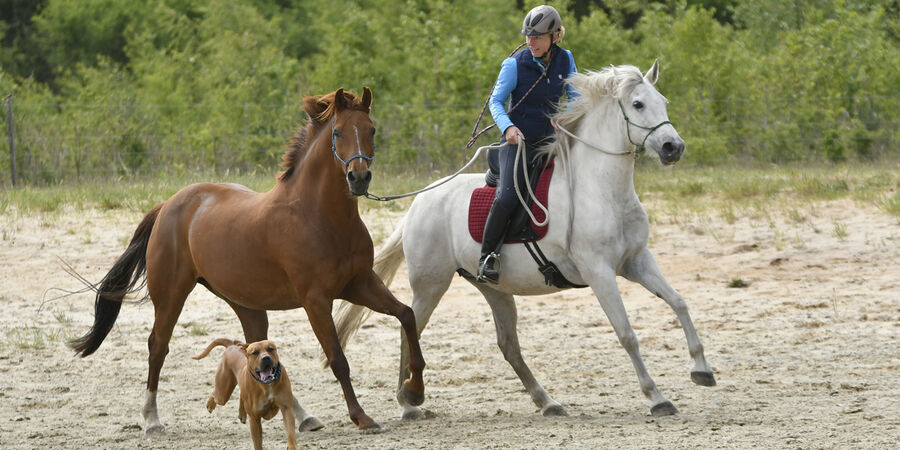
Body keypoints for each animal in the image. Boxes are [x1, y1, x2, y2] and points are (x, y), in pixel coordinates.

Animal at [67, 88, 426, 436]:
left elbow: (406, 316)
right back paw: (152, 420)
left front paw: (415, 391)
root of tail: (168, 204)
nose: (359, 177)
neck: (318, 215)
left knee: (256, 347)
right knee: (158, 346)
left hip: (245, 303)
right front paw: (362, 417)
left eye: (371, 129)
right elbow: (338, 359)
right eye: (337, 133)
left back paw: (304, 417)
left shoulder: (360, 284)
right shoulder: (315, 299)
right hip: (171, 294)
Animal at [334, 59, 712, 418]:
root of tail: (420, 202)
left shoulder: (636, 262)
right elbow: (627, 334)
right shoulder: (600, 272)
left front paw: (702, 370)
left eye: (663, 102)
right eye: (637, 104)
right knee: (408, 329)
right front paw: (657, 397)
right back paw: (408, 403)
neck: (602, 189)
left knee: (508, 344)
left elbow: (679, 302)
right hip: (431, 285)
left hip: (493, 288)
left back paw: (547, 401)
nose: (673, 147)